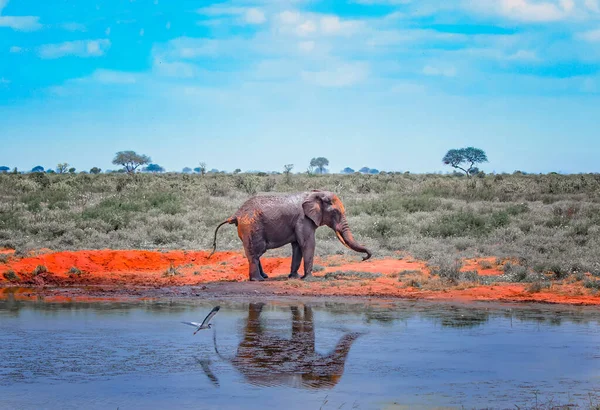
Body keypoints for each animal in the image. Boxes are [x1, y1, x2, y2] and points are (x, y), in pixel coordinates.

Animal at [210, 190, 370, 282]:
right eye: (336, 212)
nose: (364, 258)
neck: (315, 193)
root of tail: (236, 214)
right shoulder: (303, 219)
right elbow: (308, 244)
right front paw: (309, 279)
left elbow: (298, 246)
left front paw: (295, 277)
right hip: (251, 226)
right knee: (256, 252)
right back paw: (258, 280)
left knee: (255, 253)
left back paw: (264, 277)